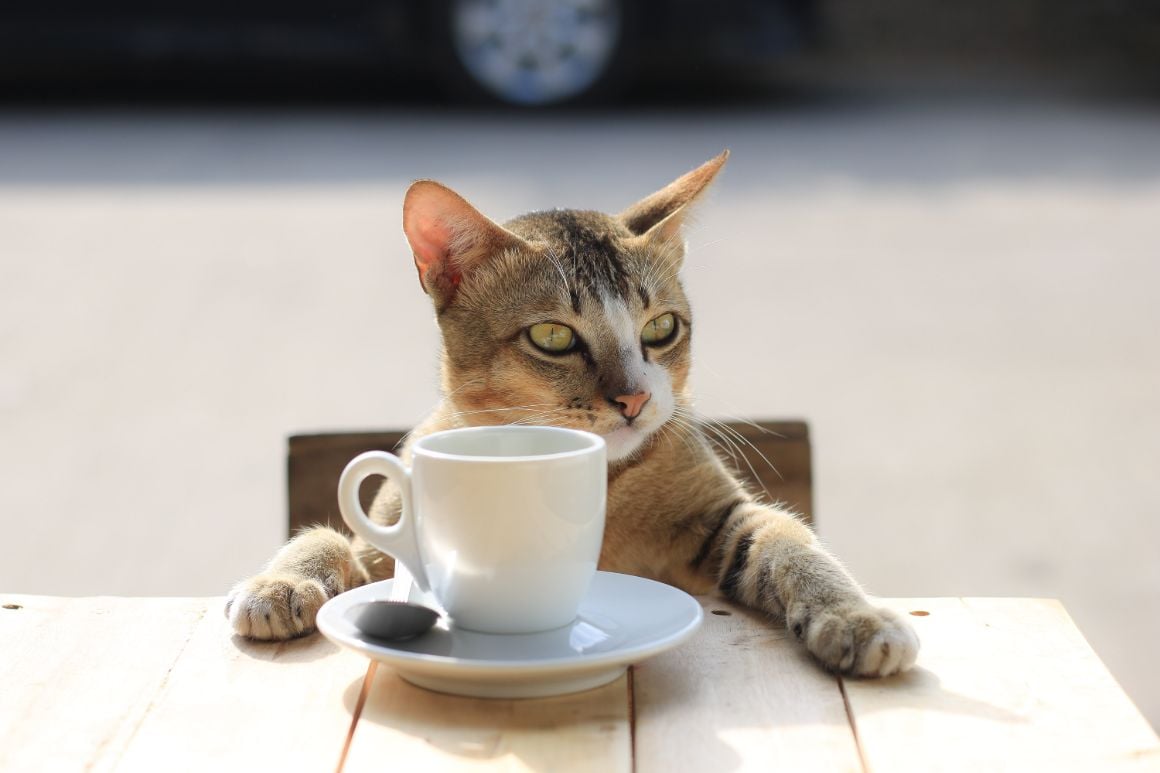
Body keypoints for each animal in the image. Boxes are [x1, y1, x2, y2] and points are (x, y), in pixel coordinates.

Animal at [221, 152, 918, 673]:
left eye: (661, 327)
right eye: (553, 336)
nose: (636, 398)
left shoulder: (724, 518)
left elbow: (789, 540)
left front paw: (858, 617)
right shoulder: (390, 539)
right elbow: (326, 535)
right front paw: (278, 585)